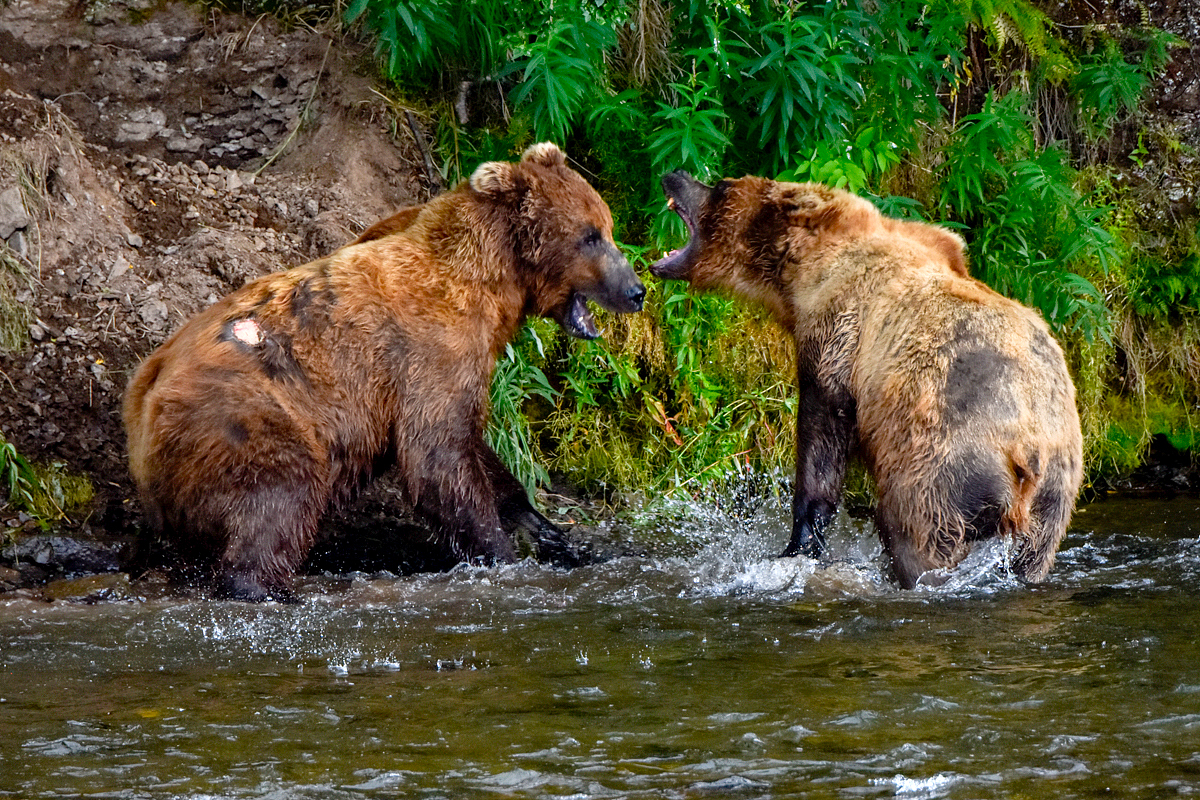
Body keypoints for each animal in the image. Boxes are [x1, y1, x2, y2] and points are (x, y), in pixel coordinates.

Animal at [124, 143, 648, 599]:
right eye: (590, 236)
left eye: (606, 225)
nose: (637, 289)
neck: (494, 283)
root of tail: (143, 394)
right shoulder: (430, 352)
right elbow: (437, 457)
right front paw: (501, 553)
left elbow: (474, 447)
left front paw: (549, 530)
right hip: (242, 413)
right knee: (277, 496)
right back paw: (268, 587)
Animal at [652, 172, 1084, 587]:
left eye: (721, 187)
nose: (676, 173)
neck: (803, 273)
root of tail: (1028, 450)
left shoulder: (838, 336)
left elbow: (821, 442)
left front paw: (799, 543)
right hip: (1053, 503)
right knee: (1031, 556)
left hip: (944, 468)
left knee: (915, 534)